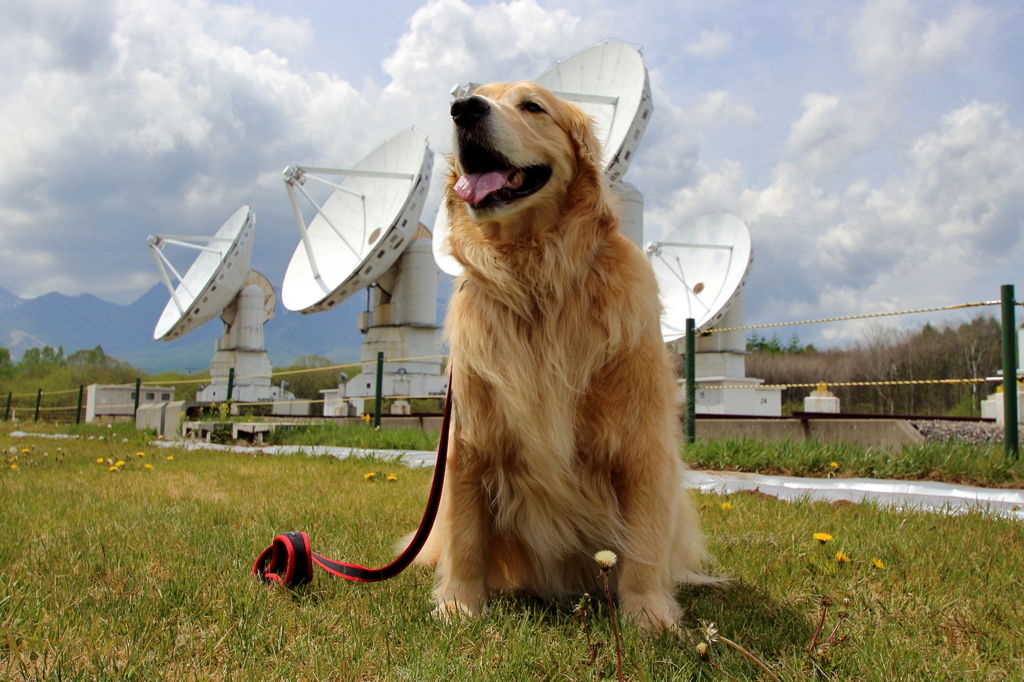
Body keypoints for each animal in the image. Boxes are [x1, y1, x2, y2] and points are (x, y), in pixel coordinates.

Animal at [407, 82, 712, 630]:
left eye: (533, 106)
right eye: (474, 95)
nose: (463, 108)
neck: (537, 280)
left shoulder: (642, 444)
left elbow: (644, 543)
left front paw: (648, 615)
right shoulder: (469, 440)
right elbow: (465, 537)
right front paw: (460, 605)